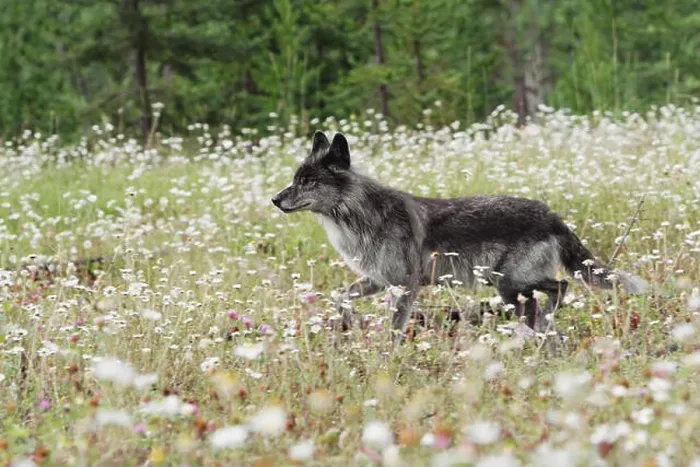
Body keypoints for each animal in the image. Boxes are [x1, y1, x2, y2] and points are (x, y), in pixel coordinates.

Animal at [272, 131, 648, 338]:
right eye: (295, 179)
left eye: (308, 181)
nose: (275, 199)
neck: (361, 215)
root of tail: (551, 215)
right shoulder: (378, 281)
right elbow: (340, 296)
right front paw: (348, 322)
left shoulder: (406, 286)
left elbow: (394, 329)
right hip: (512, 289)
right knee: (551, 299)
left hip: (509, 284)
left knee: (562, 286)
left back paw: (545, 323)